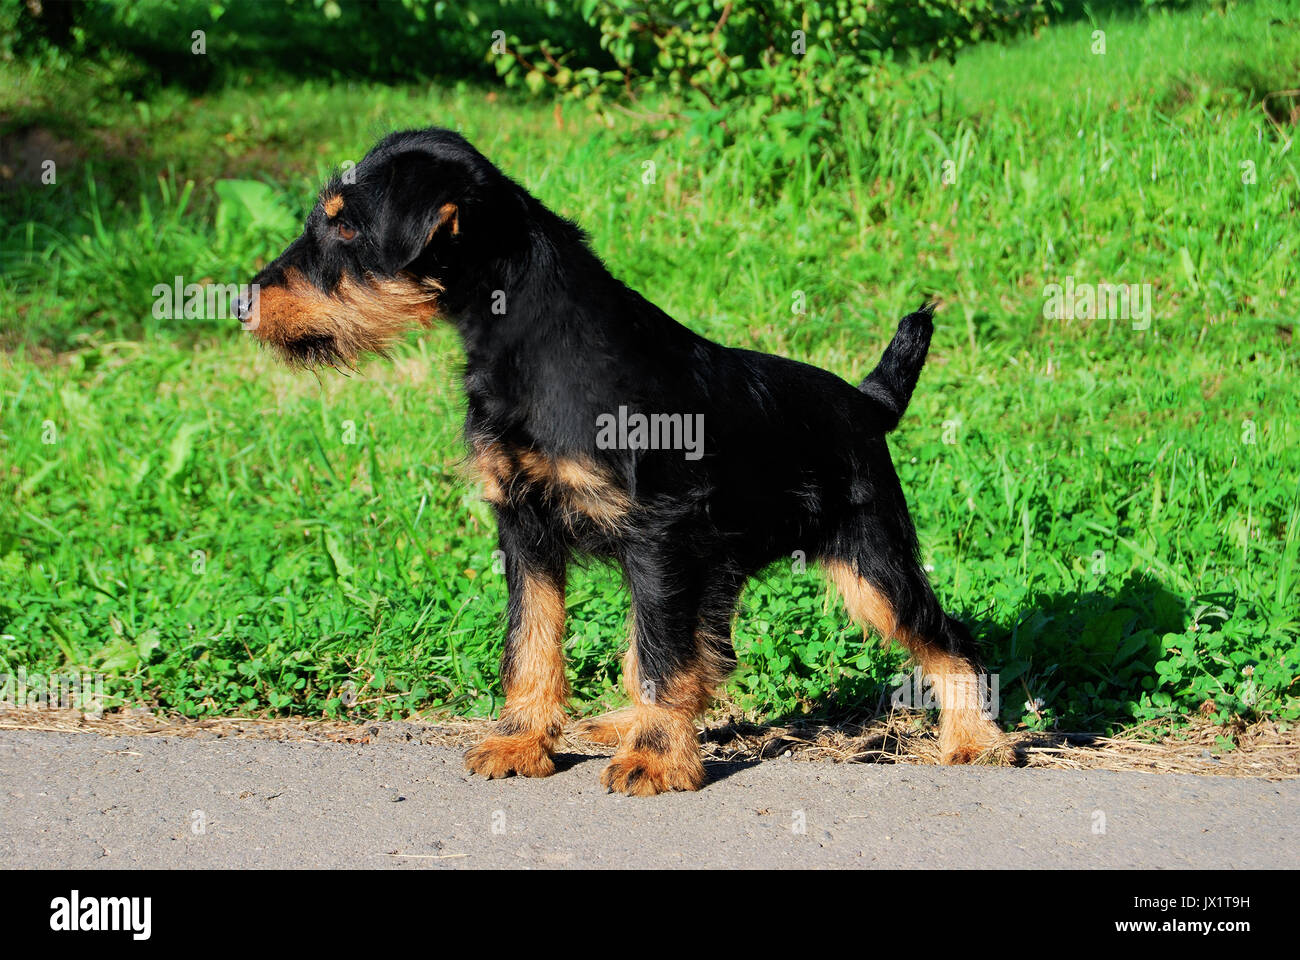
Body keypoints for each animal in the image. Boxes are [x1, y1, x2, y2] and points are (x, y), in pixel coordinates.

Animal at [239, 125, 998, 790]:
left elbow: (660, 656)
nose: (242, 300)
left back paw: (976, 742)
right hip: (725, 570)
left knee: (948, 638)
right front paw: (524, 741)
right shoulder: (526, 531)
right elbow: (534, 644)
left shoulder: (658, 537)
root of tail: (865, 402)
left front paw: (658, 761)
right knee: (704, 654)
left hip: (871, 563)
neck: (530, 346)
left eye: (345, 228)